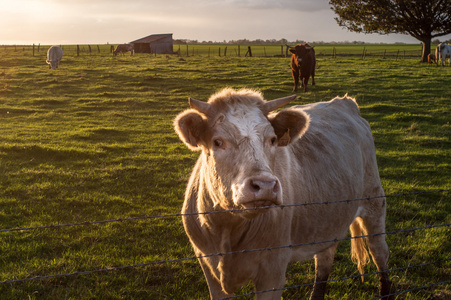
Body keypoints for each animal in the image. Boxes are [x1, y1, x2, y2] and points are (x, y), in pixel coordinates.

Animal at [175, 88, 394, 298]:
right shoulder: (207, 266)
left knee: (379, 252)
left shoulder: (273, 272)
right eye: (218, 142)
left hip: (374, 202)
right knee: (324, 260)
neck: (227, 230)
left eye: (272, 140)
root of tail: (344, 101)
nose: (265, 185)